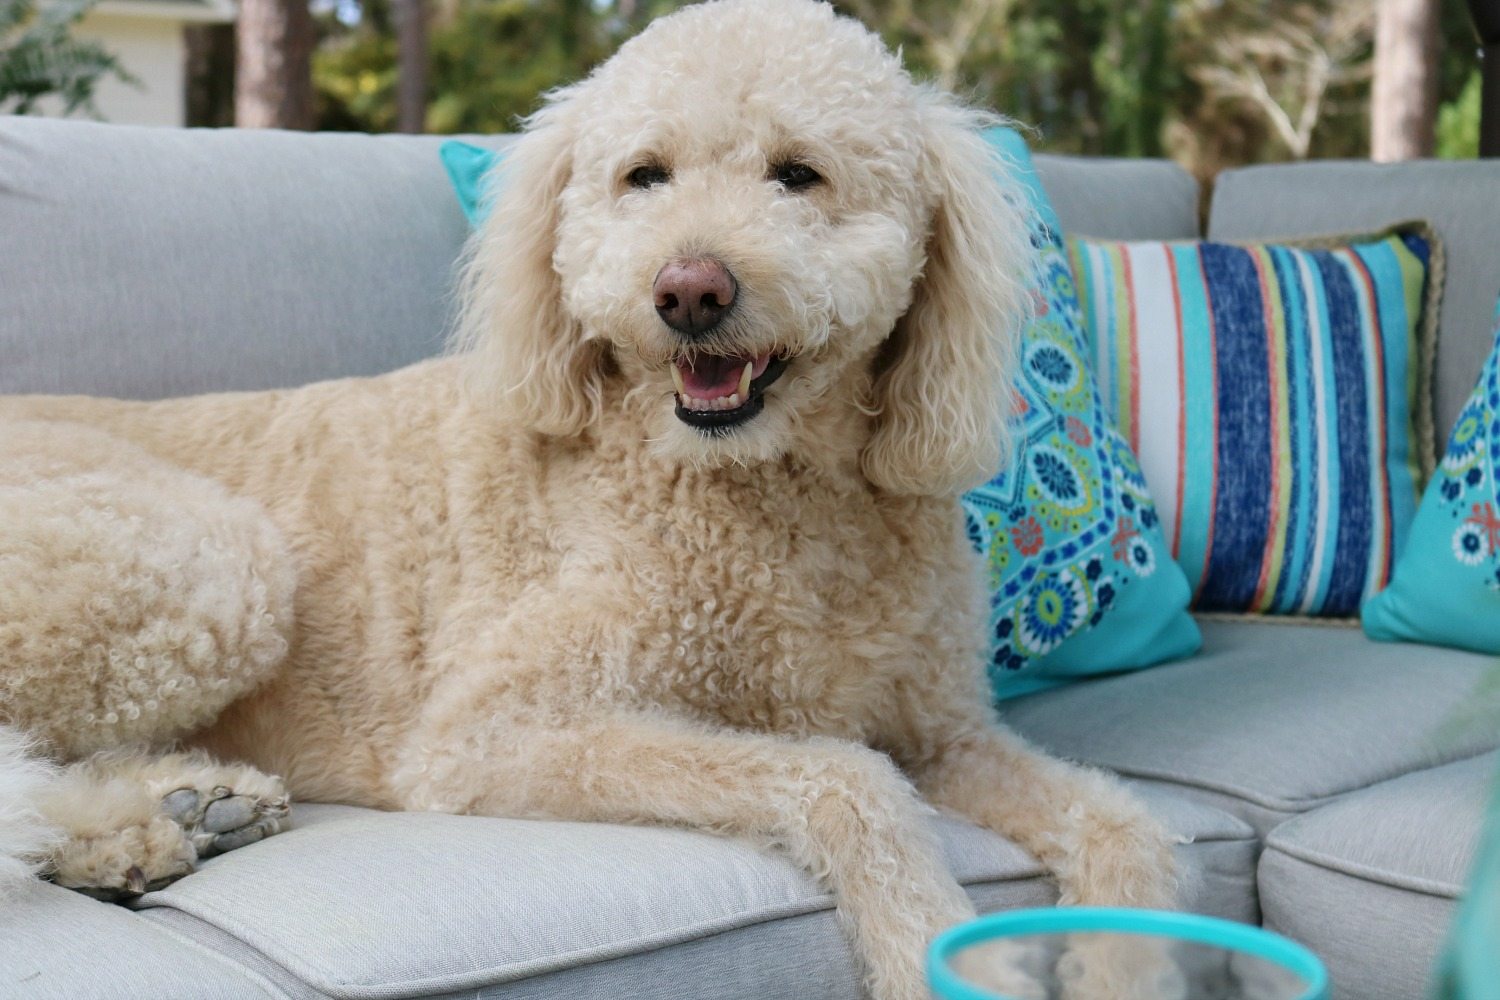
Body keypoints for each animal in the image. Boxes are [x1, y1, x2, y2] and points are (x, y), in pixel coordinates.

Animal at [0, 3, 1170, 995]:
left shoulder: (944, 732)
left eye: (800, 174)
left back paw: (188, 805)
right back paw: (148, 825)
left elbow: (1128, 830)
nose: (689, 290)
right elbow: (849, 781)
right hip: (212, 564)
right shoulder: (487, 734)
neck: (761, 490)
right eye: (642, 176)